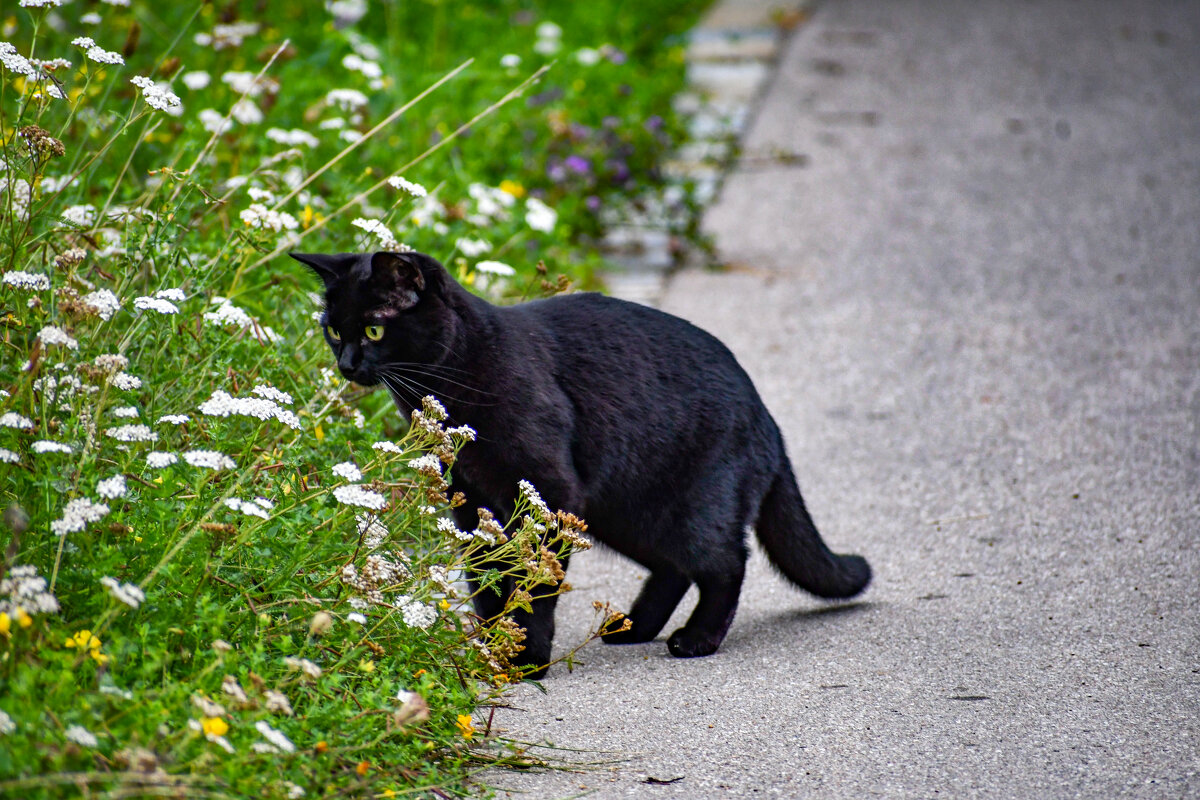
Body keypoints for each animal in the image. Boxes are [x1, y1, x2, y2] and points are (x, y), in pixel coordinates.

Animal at [294, 250, 868, 676]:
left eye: (373, 330)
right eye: (333, 330)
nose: (347, 364)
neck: (455, 383)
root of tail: (765, 414)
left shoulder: (548, 494)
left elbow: (533, 584)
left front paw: (525, 658)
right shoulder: (473, 502)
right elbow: (487, 580)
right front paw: (492, 647)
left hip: (682, 507)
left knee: (726, 563)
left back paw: (696, 639)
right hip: (624, 512)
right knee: (674, 567)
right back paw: (631, 629)